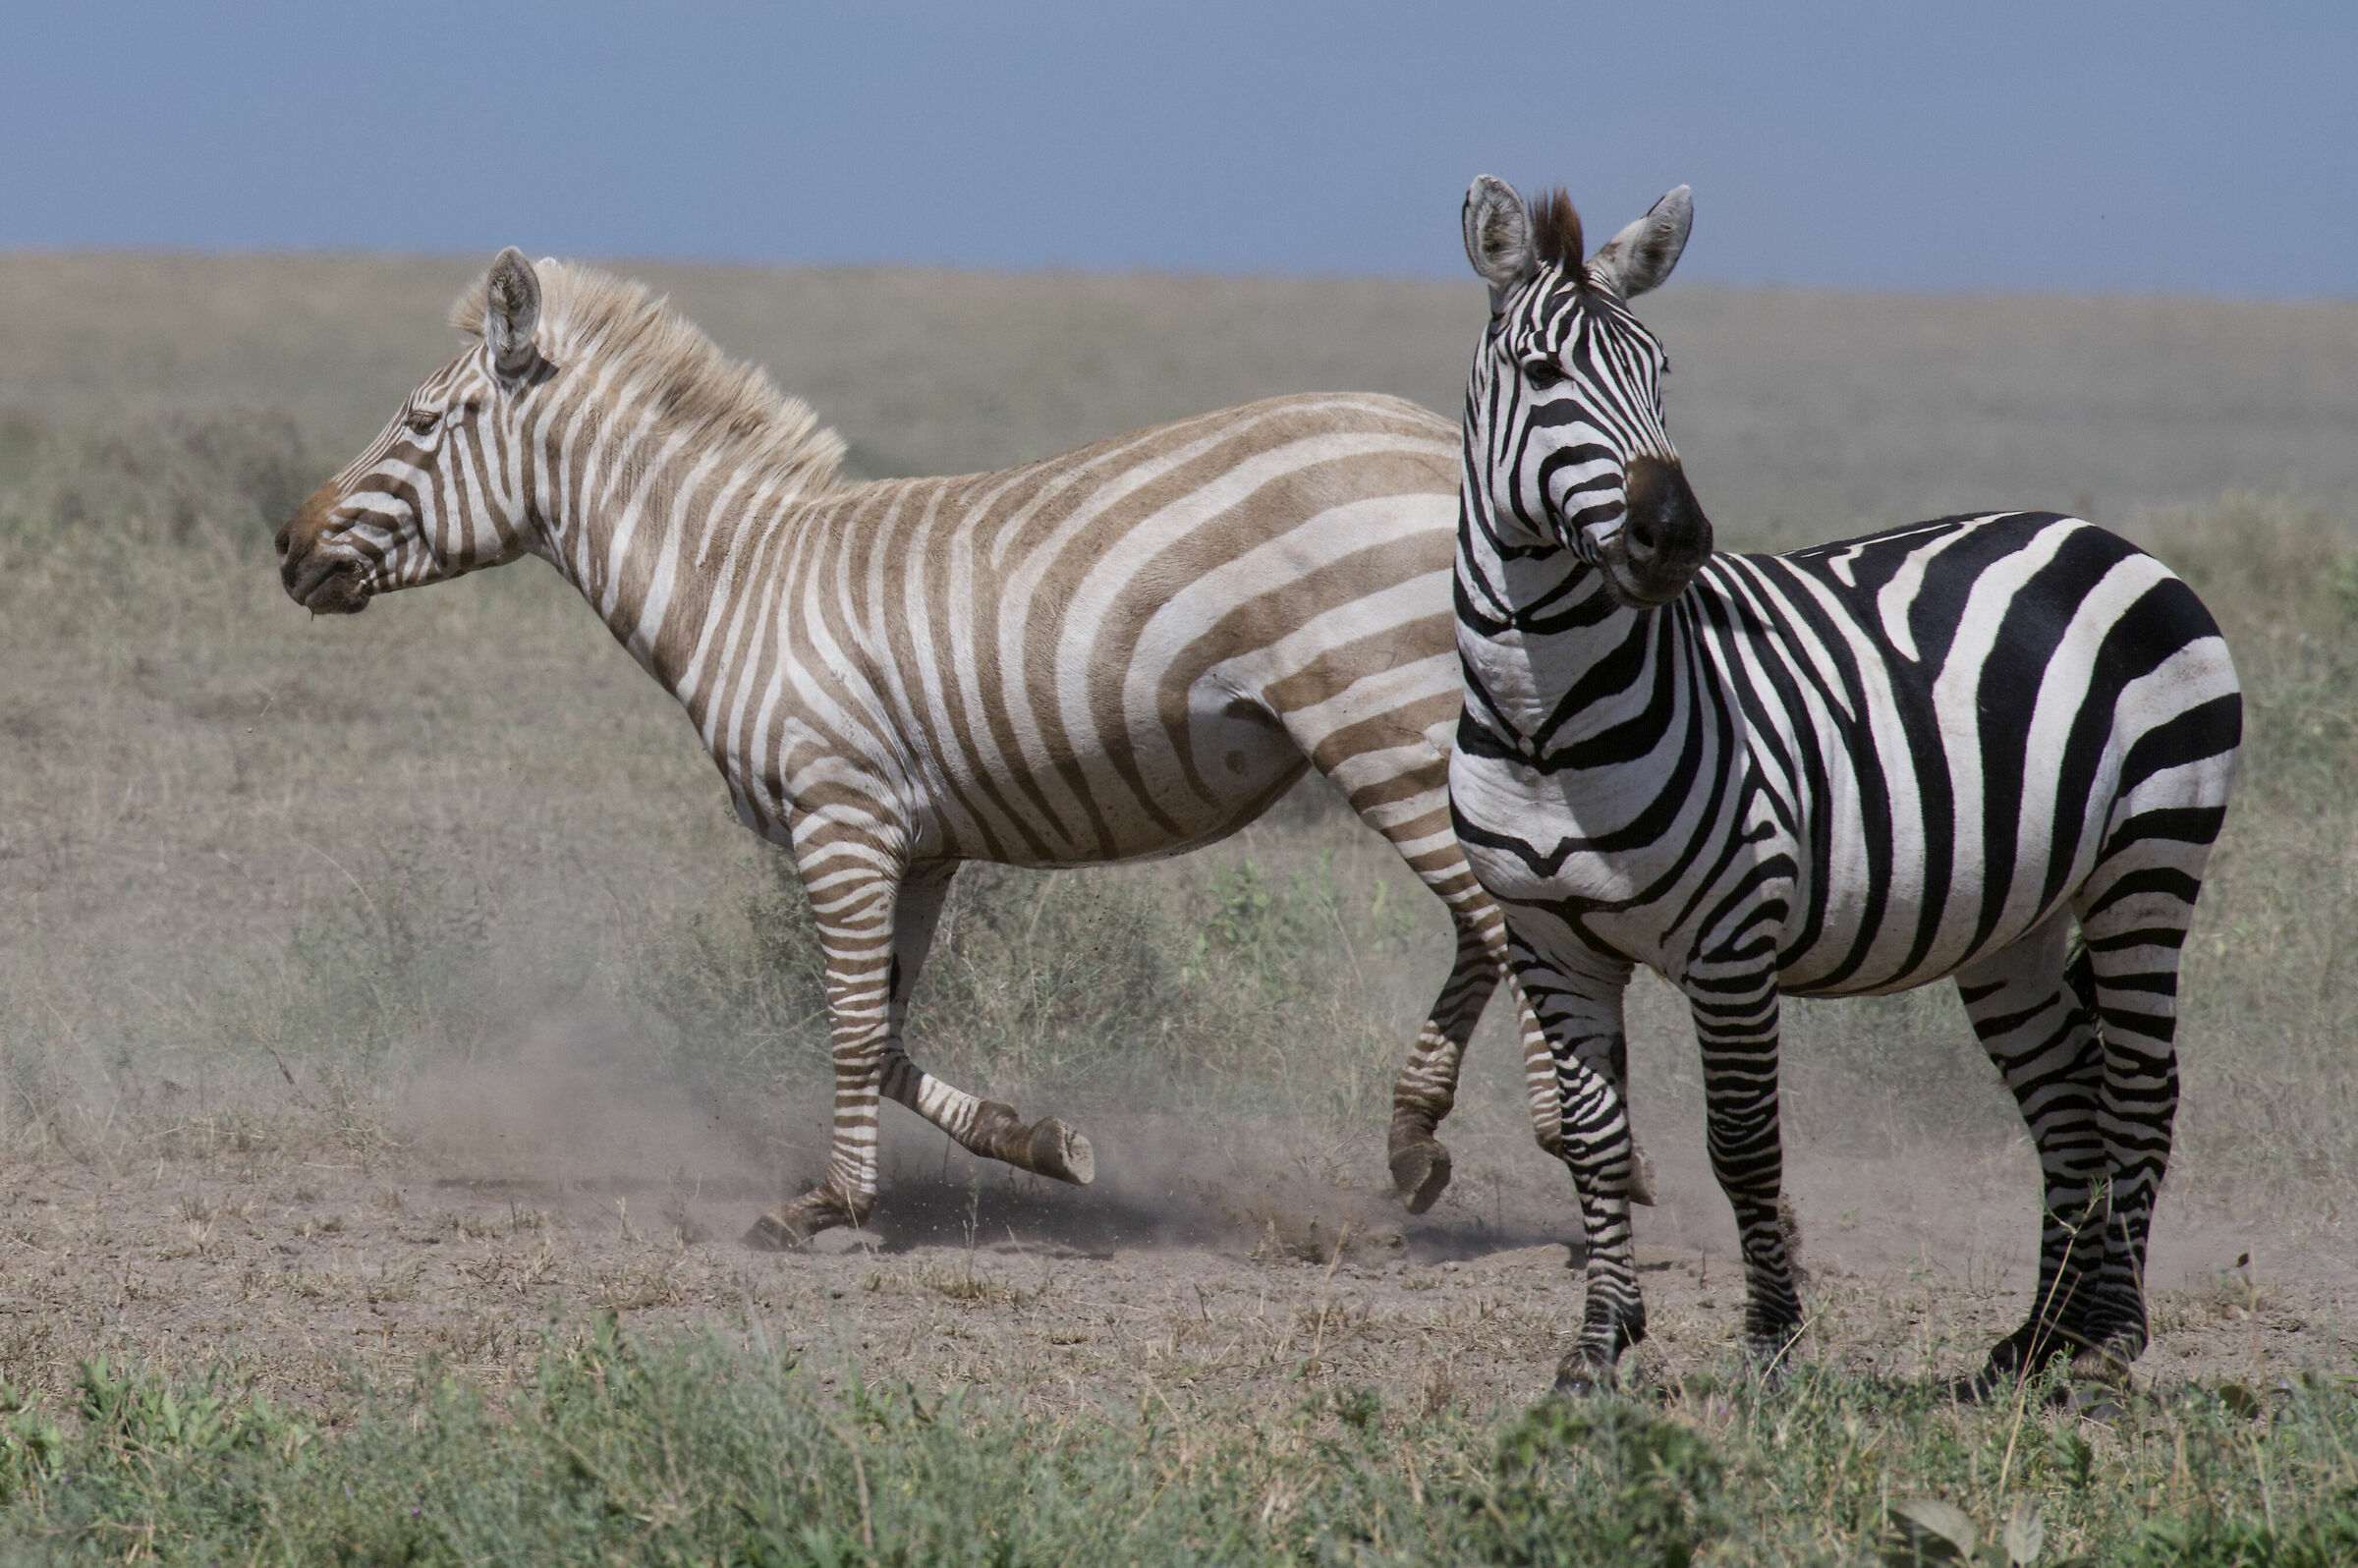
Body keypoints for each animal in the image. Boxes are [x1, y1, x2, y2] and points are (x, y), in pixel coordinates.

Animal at [273, 248, 1632, 1247]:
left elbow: (848, 1028)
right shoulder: (914, 842)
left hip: (1386, 726)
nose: (286, 549)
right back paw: (1436, 1141)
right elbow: (882, 1036)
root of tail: (1457, 453)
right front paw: (1038, 1143)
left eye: (425, 422)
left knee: (1507, 925)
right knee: (1492, 931)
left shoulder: (838, 818)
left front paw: (830, 1206)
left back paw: (1535, 1145)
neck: (737, 584)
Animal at [1447, 177, 2241, 1396]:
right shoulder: (1548, 940)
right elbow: (1595, 1144)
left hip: (2147, 861)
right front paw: (1596, 1348)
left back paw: (2108, 1350)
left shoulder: (1732, 937)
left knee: (2139, 1096)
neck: (1543, 719)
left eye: (1661, 372)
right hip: (2018, 917)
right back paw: (2036, 1339)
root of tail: (2104, 538)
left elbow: (1741, 1145)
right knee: (2068, 1100)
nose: (1675, 535)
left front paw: (1770, 1346)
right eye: (1540, 373)